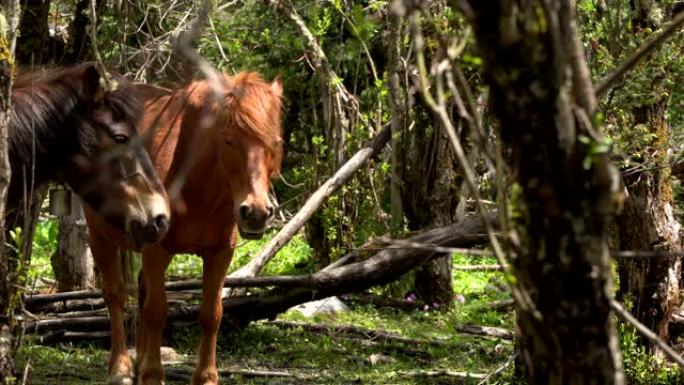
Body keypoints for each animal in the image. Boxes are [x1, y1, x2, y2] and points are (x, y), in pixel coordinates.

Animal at [87, 73, 284, 384]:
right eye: (229, 140)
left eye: (275, 143)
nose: (256, 212)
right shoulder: (156, 250)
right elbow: (156, 311)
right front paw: (153, 374)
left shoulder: (219, 253)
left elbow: (211, 313)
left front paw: (206, 376)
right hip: (99, 236)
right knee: (115, 295)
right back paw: (121, 368)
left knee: (141, 291)